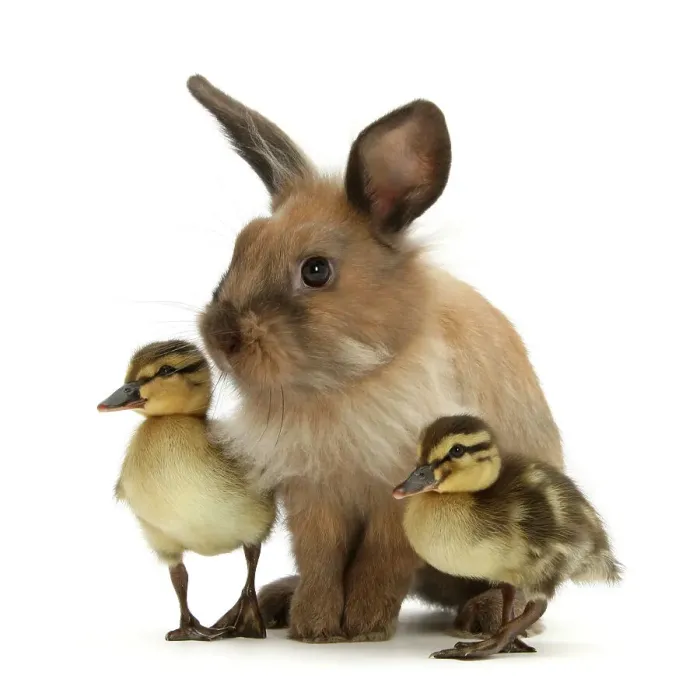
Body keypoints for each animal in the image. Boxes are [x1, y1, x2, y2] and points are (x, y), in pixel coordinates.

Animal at [187, 75, 563, 643]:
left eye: (316, 270)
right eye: (240, 249)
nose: (222, 336)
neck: (344, 384)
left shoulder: (401, 500)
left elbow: (379, 563)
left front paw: (363, 626)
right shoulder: (313, 496)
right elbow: (322, 560)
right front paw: (315, 627)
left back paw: (485, 617)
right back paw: (278, 601)